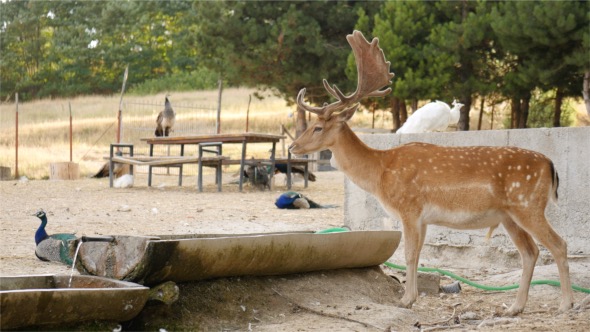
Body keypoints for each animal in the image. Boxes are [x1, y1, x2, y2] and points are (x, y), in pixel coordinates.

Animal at [290, 29, 576, 316]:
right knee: (530, 252)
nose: (293, 146)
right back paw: (515, 307)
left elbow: (408, 254)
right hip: (509, 215)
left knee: (558, 244)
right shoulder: (424, 218)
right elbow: (418, 255)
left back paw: (566, 304)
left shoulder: (409, 208)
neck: (381, 171)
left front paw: (405, 300)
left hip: (527, 205)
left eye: (317, 127)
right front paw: (412, 297)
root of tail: (550, 165)